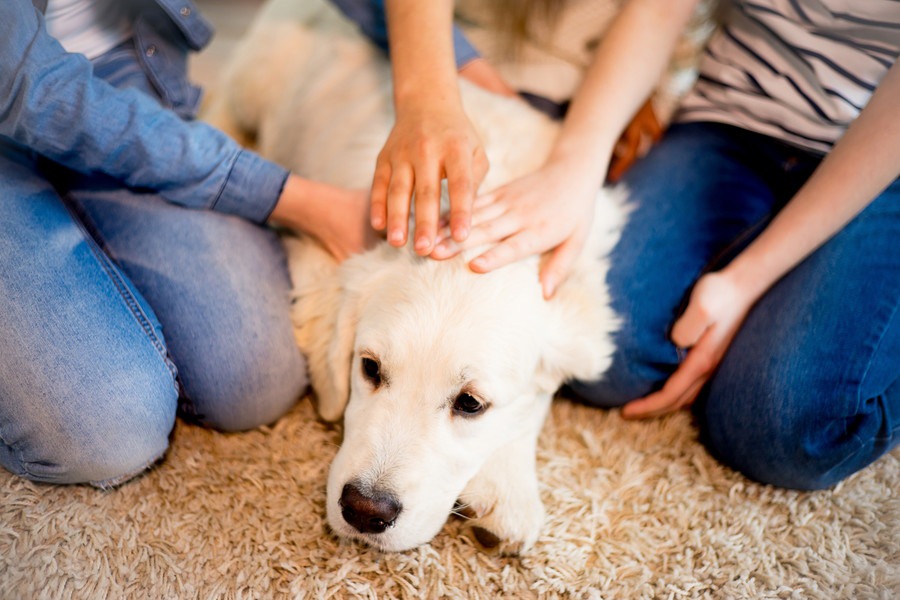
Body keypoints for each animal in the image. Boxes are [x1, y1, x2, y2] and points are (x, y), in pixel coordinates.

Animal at [214, 1, 624, 552]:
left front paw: (507, 488)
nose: (365, 510)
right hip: (255, 78)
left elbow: (537, 402)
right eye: (369, 369)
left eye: (470, 403)